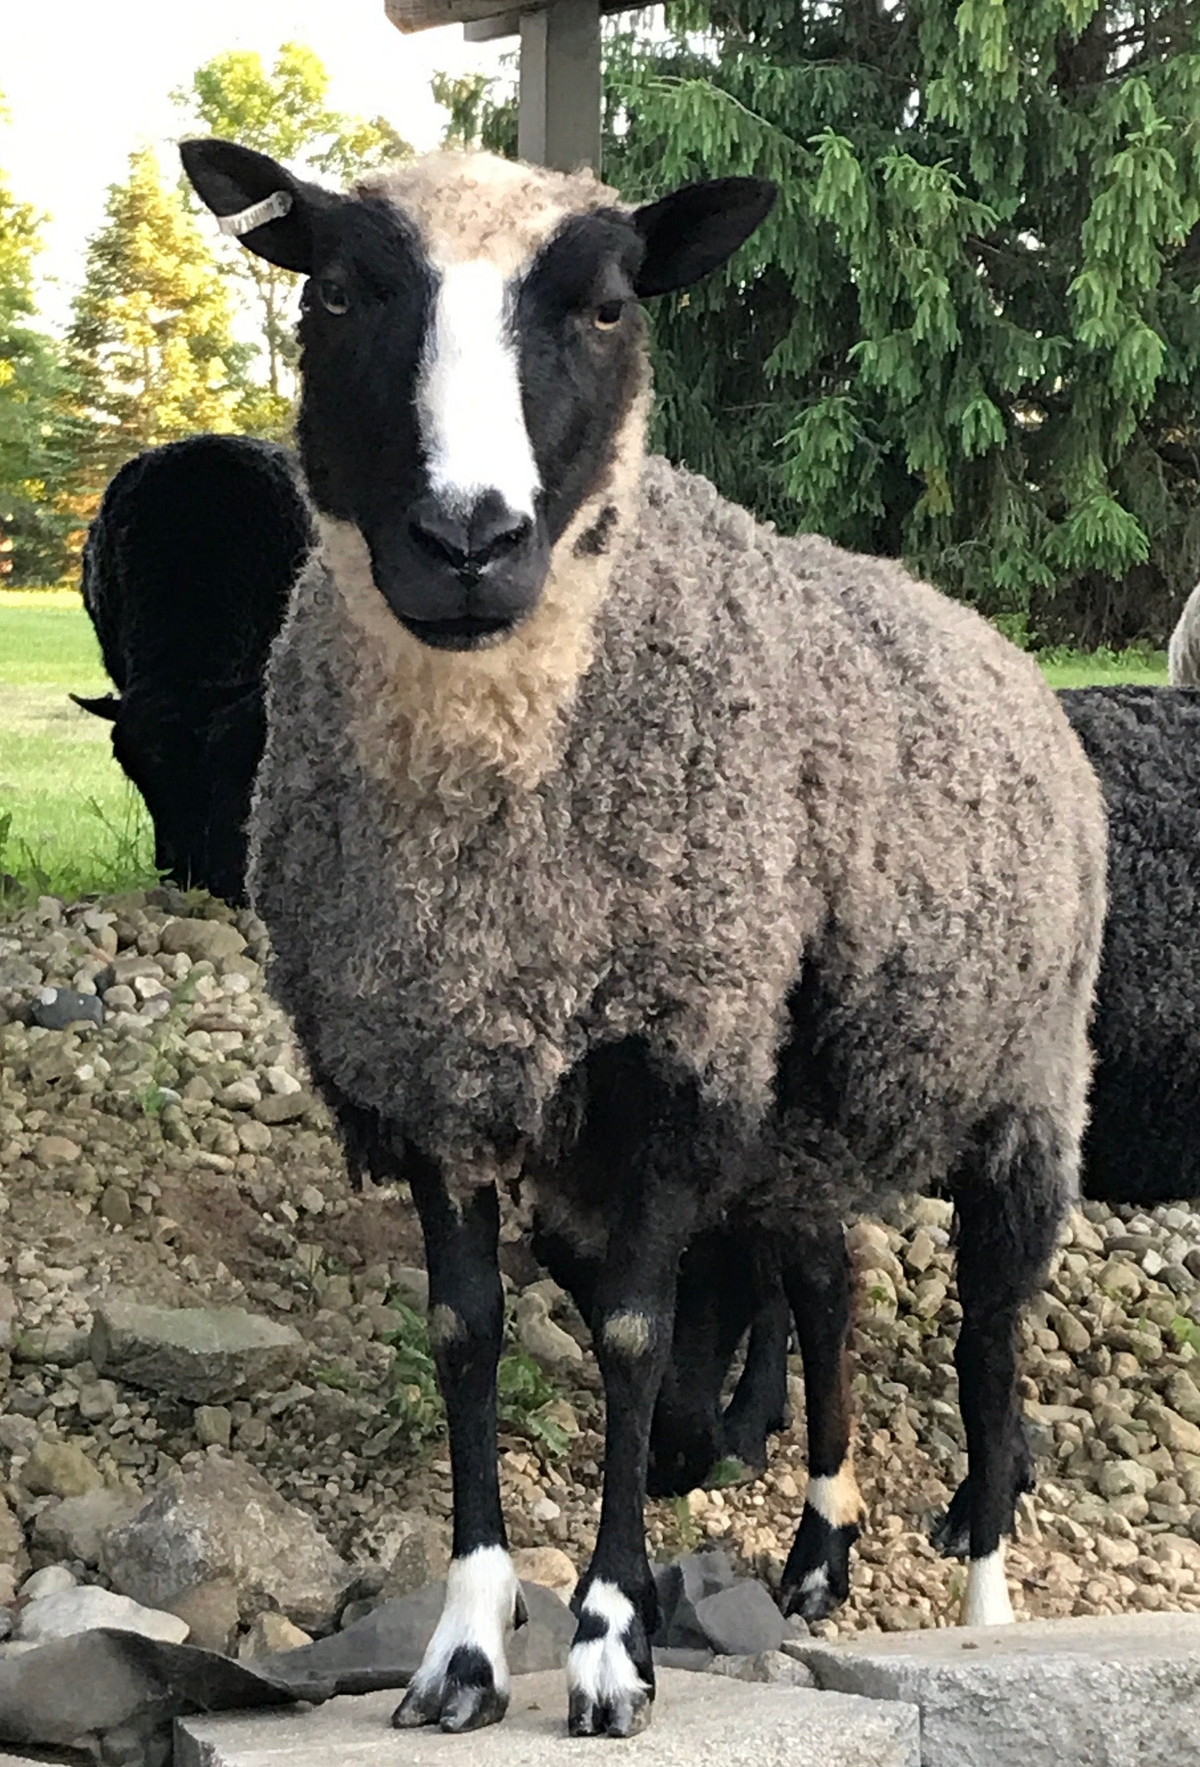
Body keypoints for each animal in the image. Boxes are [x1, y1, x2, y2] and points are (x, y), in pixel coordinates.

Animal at [182, 136, 1106, 1737]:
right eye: (340, 291)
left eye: (610, 305)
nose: (470, 541)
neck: (489, 852)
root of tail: (998, 646)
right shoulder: (434, 1059)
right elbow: (466, 1334)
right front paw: (465, 1650)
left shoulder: (671, 1045)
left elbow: (628, 1331)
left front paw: (614, 1642)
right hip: (798, 1120)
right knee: (830, 1290)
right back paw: (819, 1548)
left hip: (1026, 1092)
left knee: (991, 1337)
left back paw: (986, 1604)